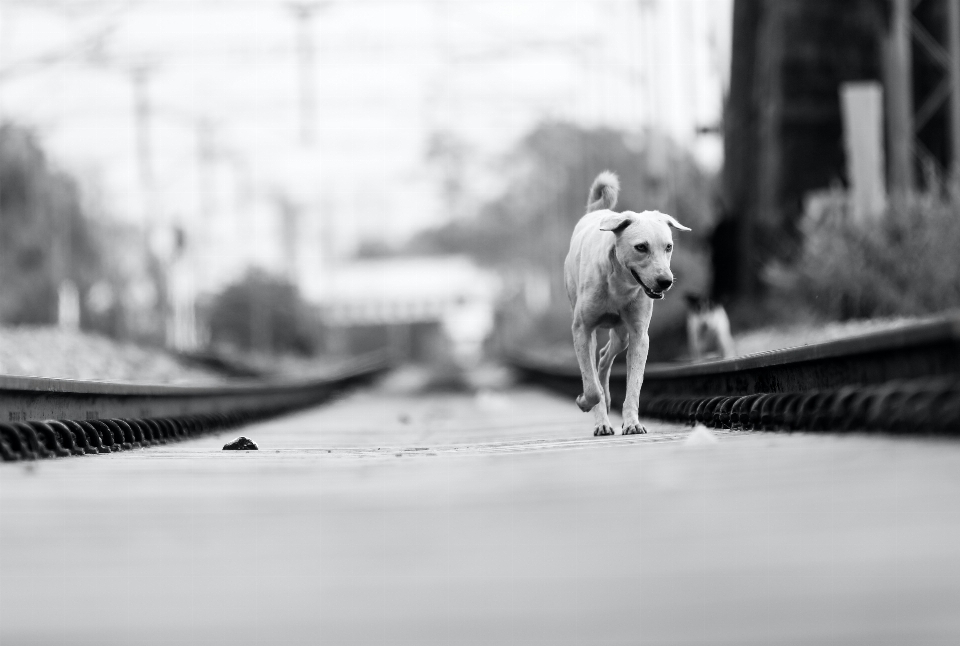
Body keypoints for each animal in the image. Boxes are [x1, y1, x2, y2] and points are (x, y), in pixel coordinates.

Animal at [564, 170, 688, 438]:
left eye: (669, 247)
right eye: (641, 247)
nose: (666, 281)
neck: (619, 285)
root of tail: (596, 211)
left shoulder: (640, 335)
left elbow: (635, 384)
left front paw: (632, 423)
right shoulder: (581, 330)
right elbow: (591, 387)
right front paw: (586, 404)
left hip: (621, 333)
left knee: (603, 357)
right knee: (595, 367)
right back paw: (600, 413)